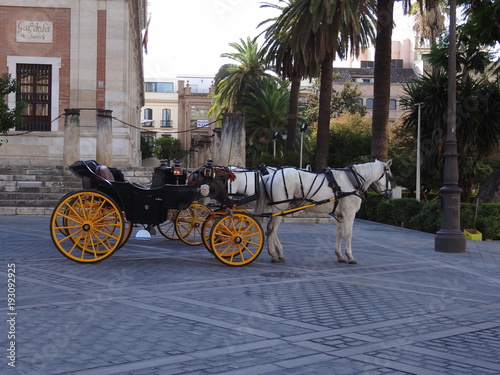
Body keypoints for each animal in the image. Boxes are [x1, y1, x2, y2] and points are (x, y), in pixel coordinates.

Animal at [256, 161, 392, 264]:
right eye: (390, 177)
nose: (389, 194)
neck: (352, 181)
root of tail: (270, 176)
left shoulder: (340, 215)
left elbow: (340, 234)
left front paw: (340, 255)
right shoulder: (349, 214)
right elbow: (348, 234)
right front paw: (350, 256)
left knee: (271, 230)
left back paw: (278, 253)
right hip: (279, 209)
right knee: (271, 230)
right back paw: (274, 254)